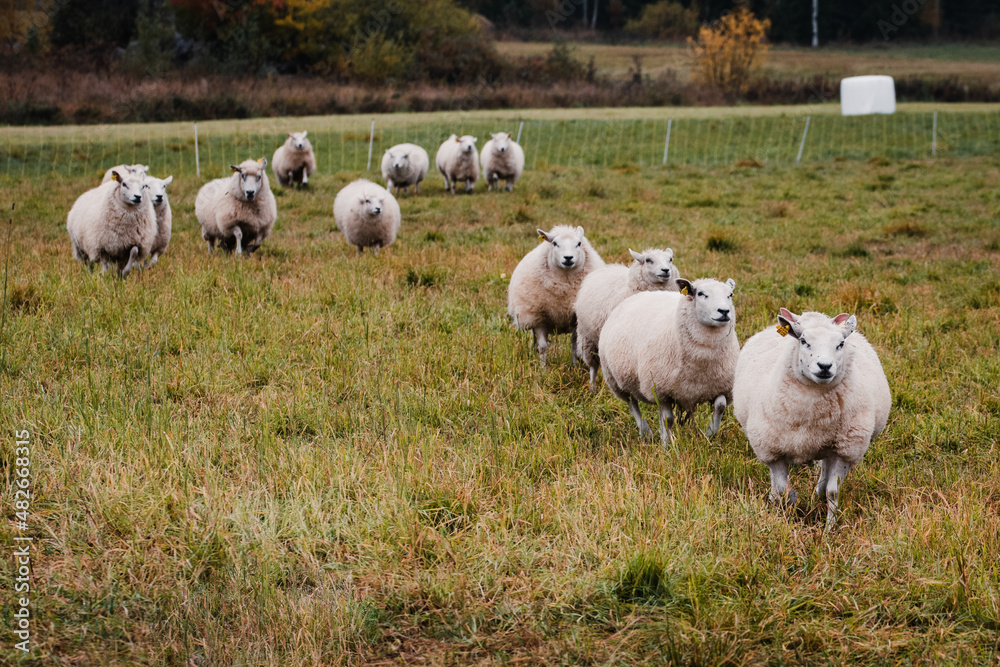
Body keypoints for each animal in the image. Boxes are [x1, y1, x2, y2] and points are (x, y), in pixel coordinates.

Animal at [507, 225, 605, 366]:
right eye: (554, 243)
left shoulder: (575, 318)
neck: (564, 284)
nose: (568, 257)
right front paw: (542, 368)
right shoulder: (539, 318)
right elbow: (542, 347)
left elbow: (574, 345)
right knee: (533, 338)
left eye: (578, 244)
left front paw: (575, 367)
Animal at [574, 248, 680, 389]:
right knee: (593, 366)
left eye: (670, 259)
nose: (666, 270)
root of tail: (607, 268)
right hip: (588, 337)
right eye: (648, 260)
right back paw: (592, 387)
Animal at [599, 278, 739, 444]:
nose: (724, 311)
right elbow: (669, 418)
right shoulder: (661, 390)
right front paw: (668, 444)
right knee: (633, 405)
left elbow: (720, 406)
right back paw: (646, 432)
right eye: (701, 293)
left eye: (730, 295)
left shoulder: (722, 387)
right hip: (618, 382)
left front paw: (709, 434)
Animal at [732, 308, 891, 530]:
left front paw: (829, 529)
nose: (824, 366)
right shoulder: (773, 450)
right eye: (804, 341)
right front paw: (784, 516)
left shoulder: (844, 449)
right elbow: (782, 490)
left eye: (840, 344)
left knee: (824, 472)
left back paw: (818, 492)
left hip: (829, 444)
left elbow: (832, 492)